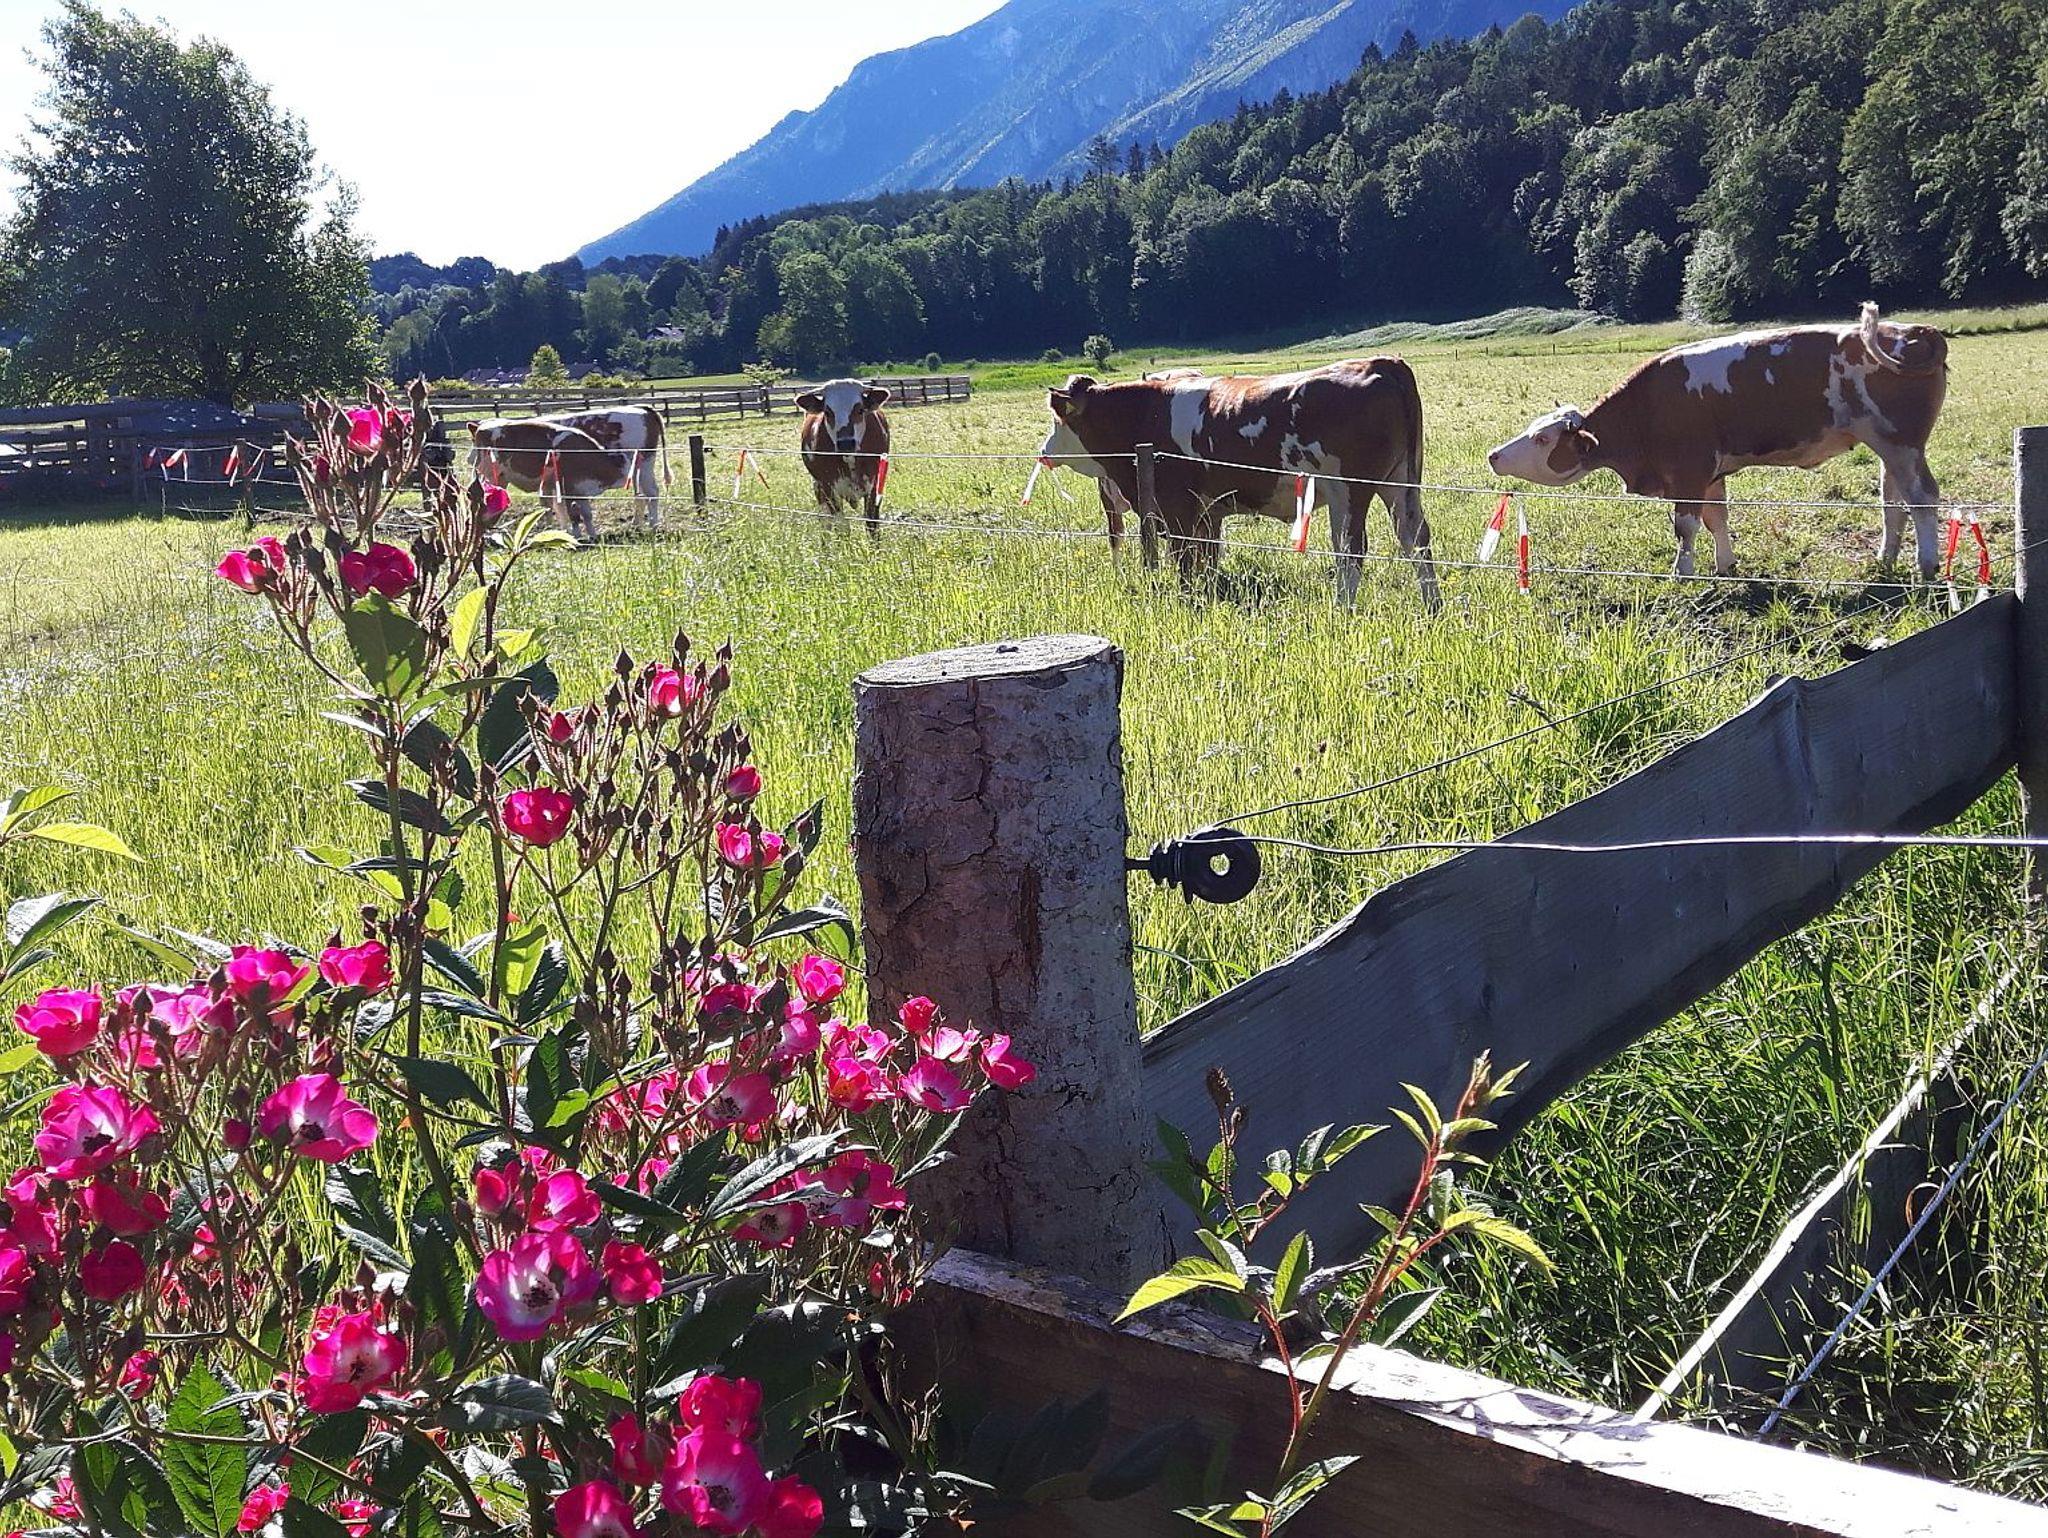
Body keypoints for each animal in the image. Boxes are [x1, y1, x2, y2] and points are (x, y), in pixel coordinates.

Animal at [466, 418, 623, 541]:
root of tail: (479, 427)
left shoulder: (581, 489)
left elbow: (586, 514)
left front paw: (592, 536)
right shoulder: (567, 487)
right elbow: (573, 515)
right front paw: (576, 537)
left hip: (501, 479)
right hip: (488, 475)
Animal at [797, 380, 890, 536]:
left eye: (860, 410)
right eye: (827, 412)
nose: (846, 443)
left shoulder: (875, 485)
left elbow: (871, 523)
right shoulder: (828, 487)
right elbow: (841, 525)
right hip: (818, 488)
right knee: (826, 521)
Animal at [1040, 359, 1437, 608]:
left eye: (1057, 421)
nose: (1043, 451)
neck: (1145, 414)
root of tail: (1381, 363)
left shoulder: (1176, 507)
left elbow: (1184, 559)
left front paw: (1188, 600)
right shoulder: (1206, 510)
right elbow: (1207, 557)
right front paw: (1208, 593)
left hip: (1349, 489)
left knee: (1351, 549)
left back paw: (1342, 609)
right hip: (1400, 484)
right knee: (1415, 538)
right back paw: (1433, 606)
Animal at [1486, 303, 1948, 579]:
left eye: (1542, 438)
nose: (1493, 455)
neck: (1648, 408)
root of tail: (1915, 330)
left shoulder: (1689, 469)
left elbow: (1686, 524)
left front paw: (1683, 572)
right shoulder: (1710, 473)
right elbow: (1717, 519)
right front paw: (1725, 564)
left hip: (1902, 443)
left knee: (1923, 498)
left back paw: (1926, 566)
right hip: (1888, 447)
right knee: (1893, 502)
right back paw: (1885, 559)